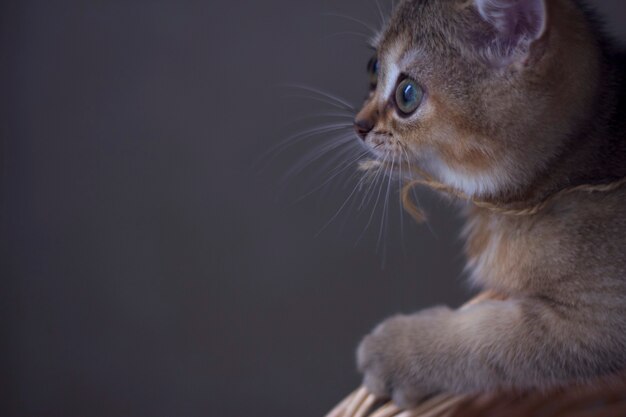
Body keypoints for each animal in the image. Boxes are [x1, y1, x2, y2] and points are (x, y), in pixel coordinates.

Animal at [352, 0, 624, 406]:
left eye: (407, 94)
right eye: (373, 67)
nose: (359, 125)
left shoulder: (600, 318)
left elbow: (486, 340)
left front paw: (397, 349)